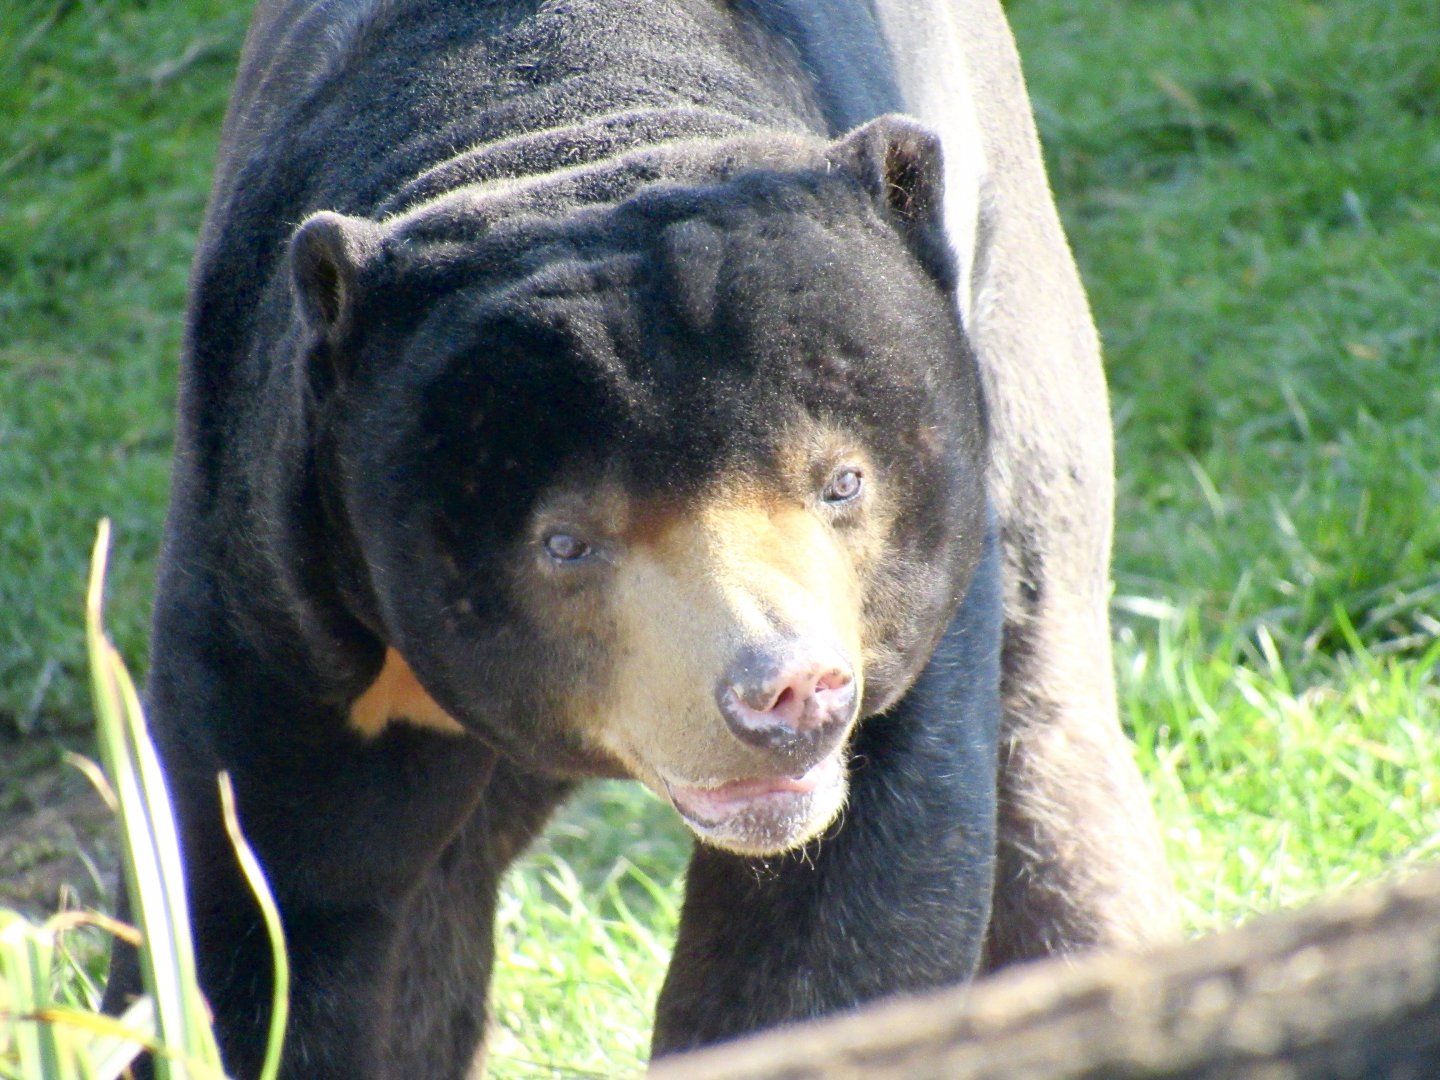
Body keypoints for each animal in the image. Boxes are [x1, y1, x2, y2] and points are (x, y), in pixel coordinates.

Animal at [103, 0, 1178, 1077]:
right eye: (565, 543)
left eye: (843, 483)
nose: (791, 693)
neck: (573, 125)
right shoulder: (271, 585)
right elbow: (257, 901)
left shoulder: (918, 628)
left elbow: (847, 917)